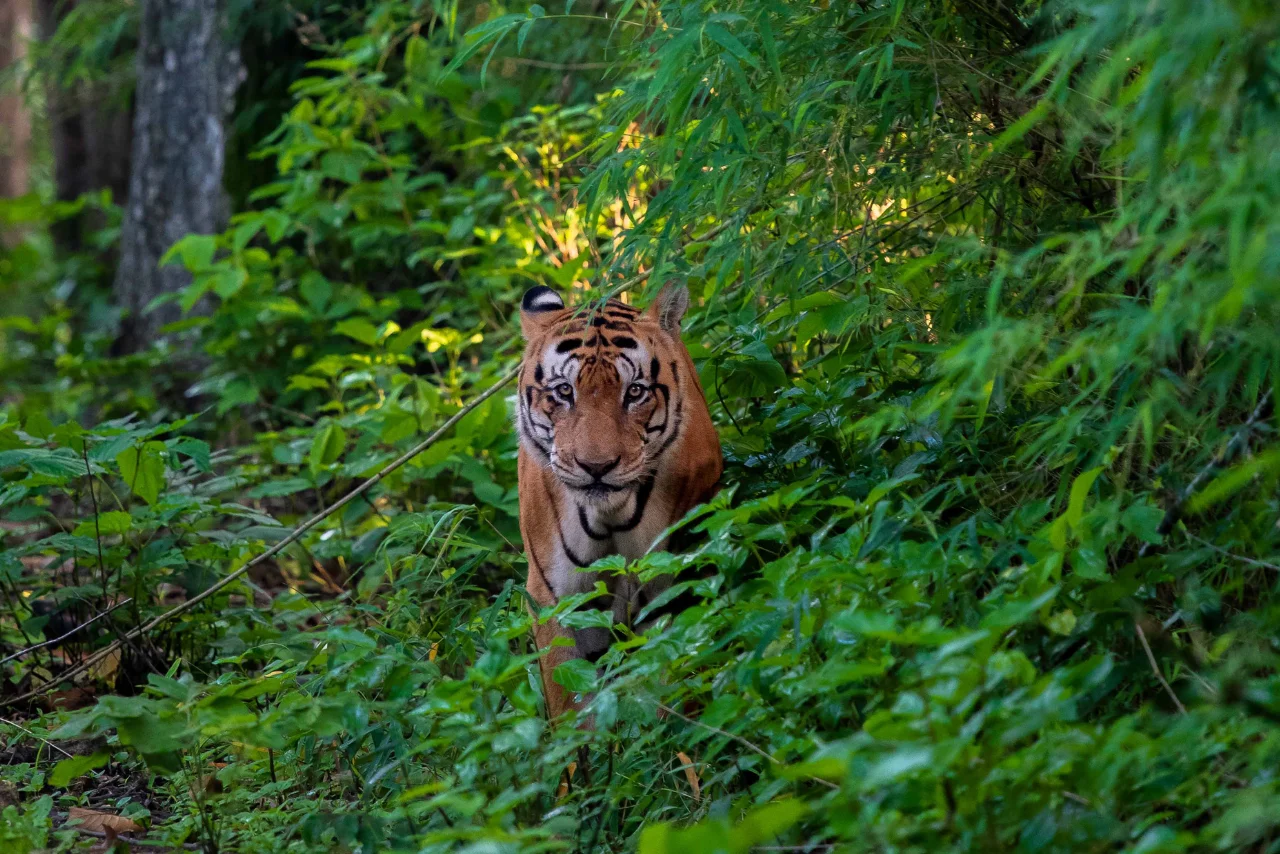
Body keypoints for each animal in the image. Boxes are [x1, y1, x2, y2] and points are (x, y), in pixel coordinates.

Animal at [516, 283, 723, 720]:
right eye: (565, 391)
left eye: (635, 392)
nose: (596, 466)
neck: (609, 515)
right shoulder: (556, 598)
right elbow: (569, 699)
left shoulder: (668, 583)